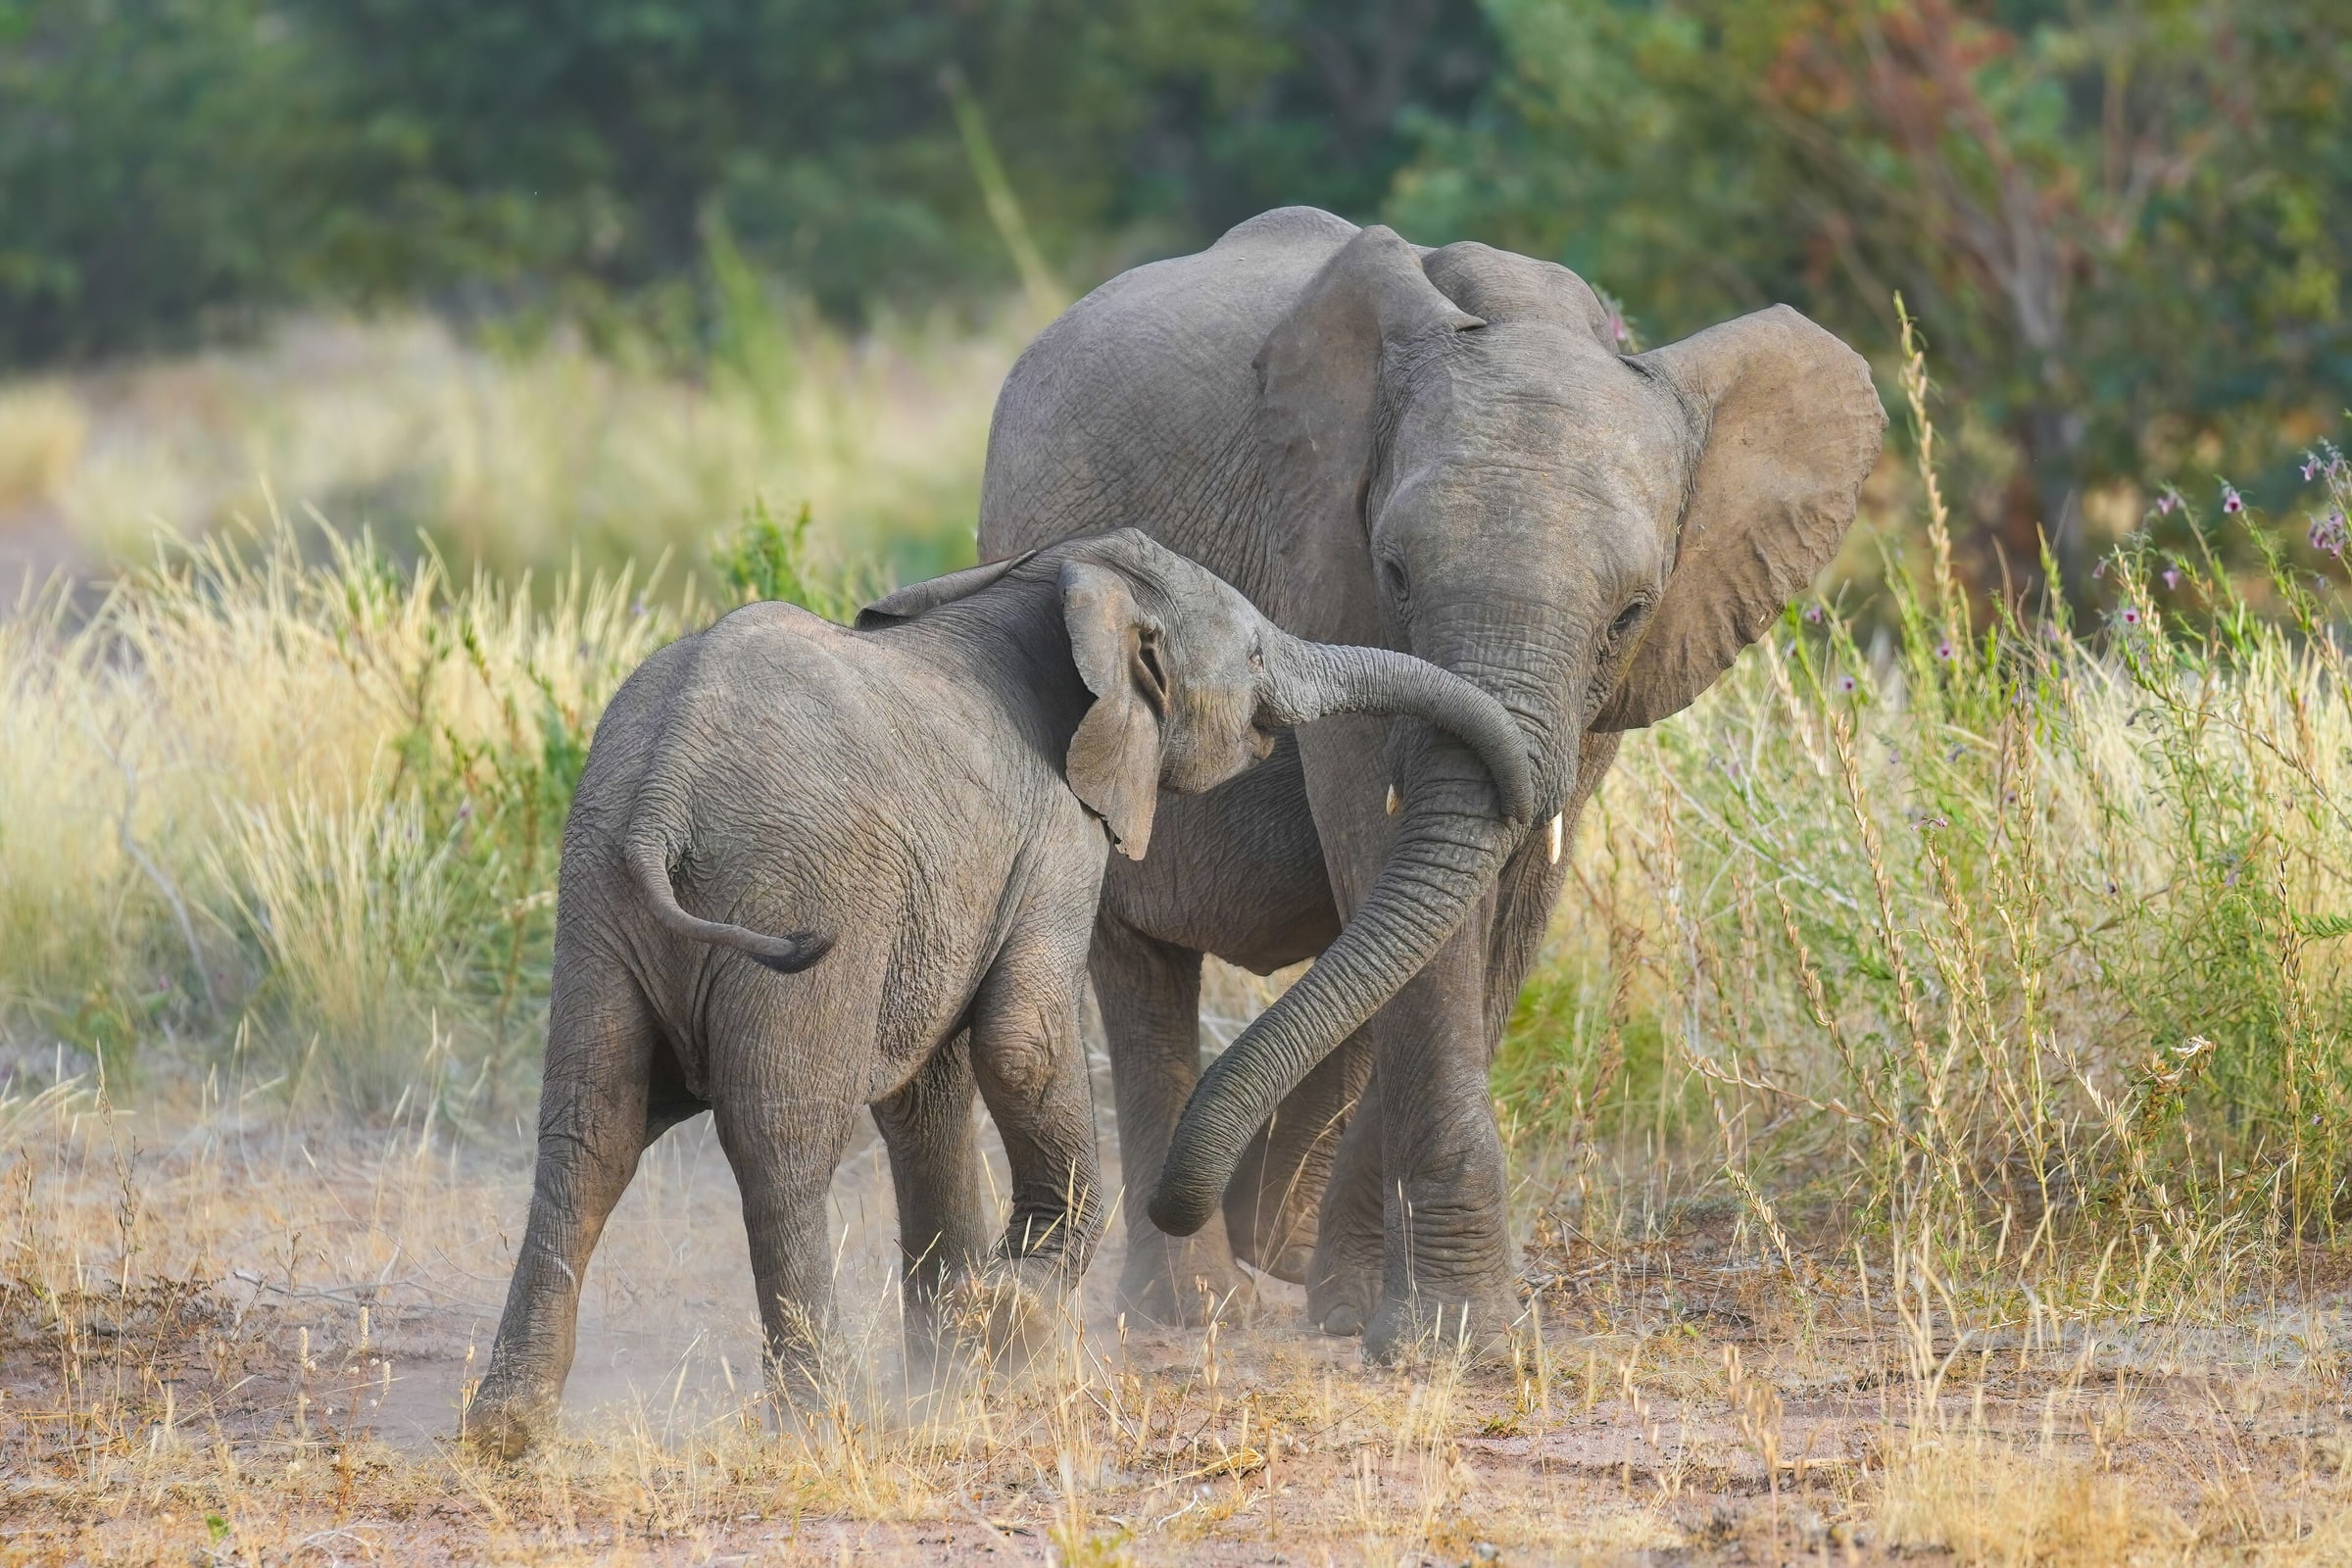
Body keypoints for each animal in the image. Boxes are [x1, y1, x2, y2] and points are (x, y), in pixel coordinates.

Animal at [460, 526, 1534, 1456]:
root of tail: (664, 788)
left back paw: (508, 1430)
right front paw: (1012, 1316)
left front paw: (956, 1351)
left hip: (597, 893)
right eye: (1258, 649)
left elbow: (924, 1091)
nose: (1526, 799)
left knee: (589, 1130)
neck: (1052, 587)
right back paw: (830, 1418)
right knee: (784, 1141)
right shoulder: (1057, 834)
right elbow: (1020, 1044)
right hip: (794, 890)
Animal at [974, 207, 1886, 1356]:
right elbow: (1395, 872)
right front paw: (1445, 1334)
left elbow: (1505, 901)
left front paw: (1368, 1301)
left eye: (1631, 611)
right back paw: (1199, 1306)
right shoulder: (1325, 571)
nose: (1217, 1194)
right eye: (1398, 573)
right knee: (1140, 969)